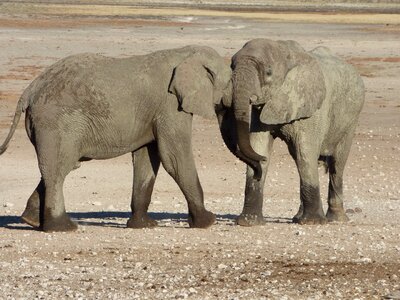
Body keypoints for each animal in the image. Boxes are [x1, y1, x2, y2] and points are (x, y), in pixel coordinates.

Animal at [0, 45, 264, 232]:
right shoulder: (169, 105)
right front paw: (207, 222)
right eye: (230, 81)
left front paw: (143, 226)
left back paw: (31, 221)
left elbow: (147, 158)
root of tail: (29, 91)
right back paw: (63, 228)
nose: (260, 164)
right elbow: (174, 157)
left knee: (58, 167)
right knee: (59, 168)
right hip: (56, 122)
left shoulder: (154, 112)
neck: (185, 53)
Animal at [230, 38, 368, 226]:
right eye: (231, 66)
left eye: (268, 72)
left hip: (351, 119)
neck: (285, 53)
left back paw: (336, 219)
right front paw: (249, 222)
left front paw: (313, 223)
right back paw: (298, 218)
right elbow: (259, 145)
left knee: (336, 164)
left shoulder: (313, 109)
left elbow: (305, 153)